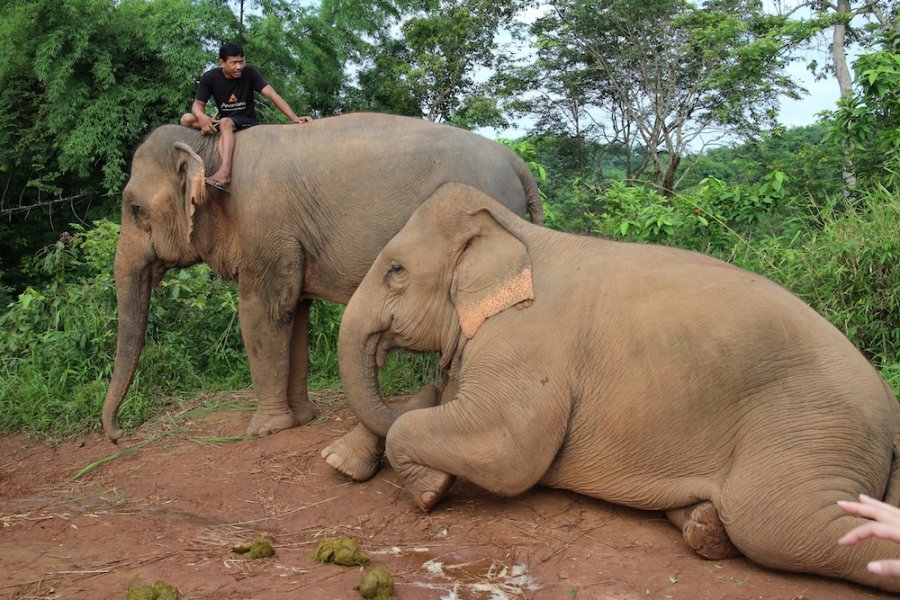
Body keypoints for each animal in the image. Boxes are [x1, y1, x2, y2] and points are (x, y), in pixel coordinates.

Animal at [103, 113, 544, 440]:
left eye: (136, 210)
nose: (119, 435)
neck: (208, 148)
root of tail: (517, 162)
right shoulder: (289, 241)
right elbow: (295, 313)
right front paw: (302, 419)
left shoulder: (266, 227)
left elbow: (263, 312)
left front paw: (263, 430)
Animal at [334, 182, 900, 592]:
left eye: (396, 271)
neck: (517, 233)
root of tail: (889, 409)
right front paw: (346, 463)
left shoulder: (527, 341)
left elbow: (508, 451)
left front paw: (429, 491)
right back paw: (703, 525)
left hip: (811, 427)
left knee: (782, 525)